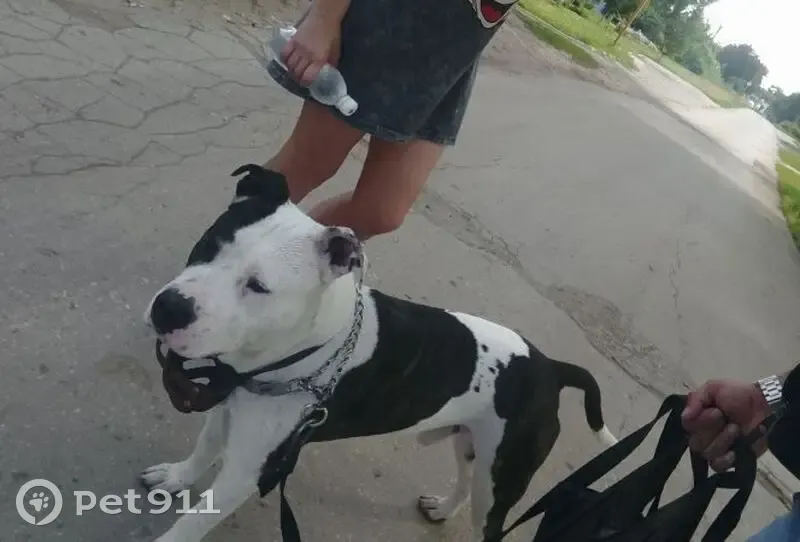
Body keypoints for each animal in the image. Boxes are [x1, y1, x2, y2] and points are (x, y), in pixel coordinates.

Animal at [141, 164, 617, 542]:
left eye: (258, 286)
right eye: (209, 242)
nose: (169, 308)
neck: (309, 349)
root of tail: (550, 367)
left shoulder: (247, 472)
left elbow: (190, 524)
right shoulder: (228, 408)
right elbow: (203, 450)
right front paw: (177, 477)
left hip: (501, 477)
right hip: (472, 444)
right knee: (466, 481)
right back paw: (443, 508)